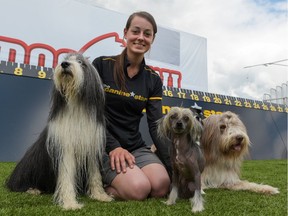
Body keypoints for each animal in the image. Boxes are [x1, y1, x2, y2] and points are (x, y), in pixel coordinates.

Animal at [5, 52, 113, 209]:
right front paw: (70, 203)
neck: (76, 106)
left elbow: (95, 175)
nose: (64, 64)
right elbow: (67, 176)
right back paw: (33, 189)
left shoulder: (91, 146)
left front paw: (100, 196)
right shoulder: (65, 147)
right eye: (65, 59)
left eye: (81, 63)